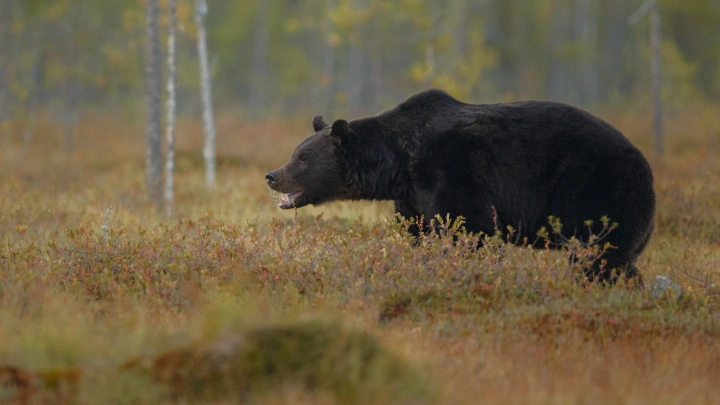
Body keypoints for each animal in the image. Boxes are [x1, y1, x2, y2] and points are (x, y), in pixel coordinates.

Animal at [265, 89, 656, 283]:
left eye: (302, 157)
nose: (272, 175)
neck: (399, 163)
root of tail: (647, 167)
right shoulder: (412, 196)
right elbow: (420, 231)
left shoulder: (454, 169)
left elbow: (471, 228)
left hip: (600, 191)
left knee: (600, 254)